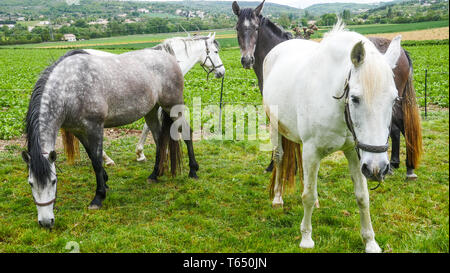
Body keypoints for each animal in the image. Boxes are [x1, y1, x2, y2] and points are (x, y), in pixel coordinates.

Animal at [22, 47, 195, 227]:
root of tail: (169, 57)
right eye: (30, 183)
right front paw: (105, 182)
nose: (45, 222)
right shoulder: (79, 131)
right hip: (152, 111)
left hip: (173, 107)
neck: (69, 88)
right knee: (159, 140)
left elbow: (97, 161)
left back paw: (193, 171)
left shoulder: (95, 128)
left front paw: (98, 197)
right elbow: (92, 157)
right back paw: (155, 175)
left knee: (187, 132)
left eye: (53, 181)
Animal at [99, 34, 224, 166]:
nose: (222, 71)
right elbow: (148, 127)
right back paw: (107, 159)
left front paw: (141, 153)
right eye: (216, 51)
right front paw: (144, 152)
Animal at [262, 22, 402, 252]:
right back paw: (277, 198)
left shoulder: (355, 153)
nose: (377, 168)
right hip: (275, 126)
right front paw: (306, 238)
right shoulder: (312, 151)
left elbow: (362, 197)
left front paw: (370, 241)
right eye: (355, 98)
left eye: (394, 99)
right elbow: (308, 196)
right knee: (280, 157)